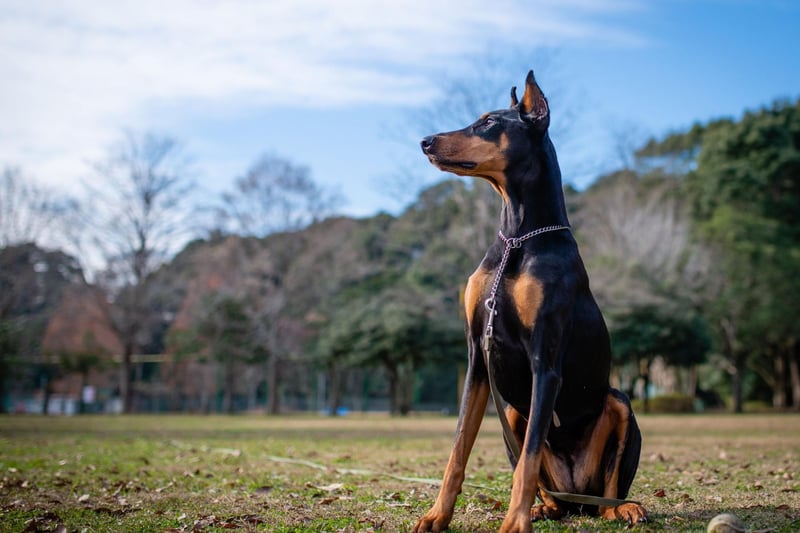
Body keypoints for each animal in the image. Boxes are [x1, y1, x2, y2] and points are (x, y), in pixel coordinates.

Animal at [416, 70, 648, 532]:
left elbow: (528, 458)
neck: (517, 238)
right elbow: (458, 449)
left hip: (619, 402)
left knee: (608, 489)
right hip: (512, 414)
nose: (426, 142)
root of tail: (578, 495)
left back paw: (623, 508)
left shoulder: (546, 361)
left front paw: (514, 522)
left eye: (488, 122)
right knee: (554, 492)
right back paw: (546, 507)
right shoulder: (477, 356)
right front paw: (437, 515)